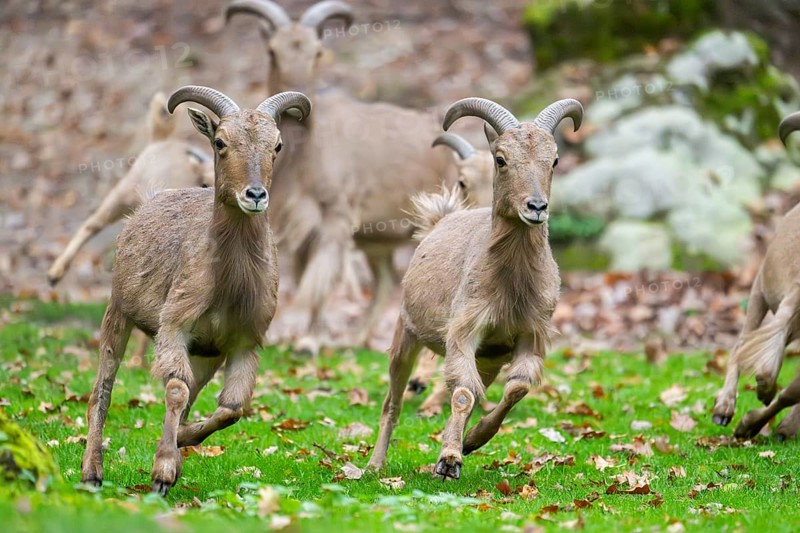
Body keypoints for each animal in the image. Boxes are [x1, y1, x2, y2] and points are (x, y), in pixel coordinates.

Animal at [79, 86, 311, 495]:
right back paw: (92, 472)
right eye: (220, 142)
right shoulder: (174, 326)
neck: (229, 283)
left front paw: (180, 445)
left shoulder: (242, 342)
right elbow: (176, 389)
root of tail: (148, 200)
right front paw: (162, 472)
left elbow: (232, 408)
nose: (255, 194)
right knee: (102, 390)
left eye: (277, 145)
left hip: (207, 354)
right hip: (118, 311)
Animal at [366, 97, 583, 478]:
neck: (511, 285)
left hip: (488, 360)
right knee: (392, 402)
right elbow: (464, 393)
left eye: (554, 160)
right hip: (405, 334)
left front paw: (471, 442)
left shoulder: (527, 335)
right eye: (501, 158)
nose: (536, 207)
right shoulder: (465, 330)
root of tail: (439, 220)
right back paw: (376, 464)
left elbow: (516, 388)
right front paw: (449, 460)